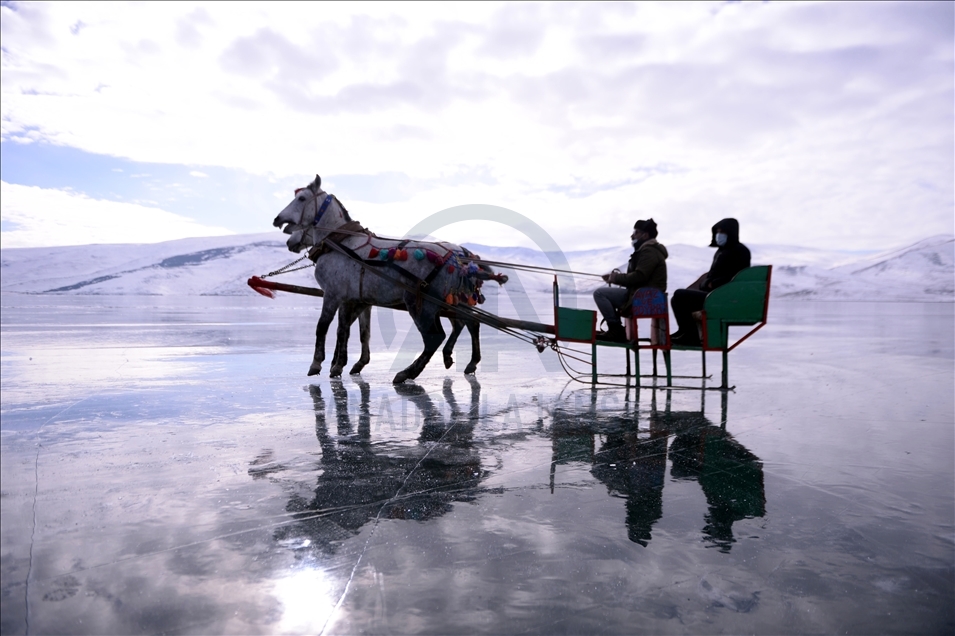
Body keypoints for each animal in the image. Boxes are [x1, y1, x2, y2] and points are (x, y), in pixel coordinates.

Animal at [272, 174, 504, 382]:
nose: (277, 219)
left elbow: (324, 327)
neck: (341, 243)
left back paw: (407, 373)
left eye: (301, 198)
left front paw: (317, 363)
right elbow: (352, 331)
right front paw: (342, 365)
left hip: (422, 303)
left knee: (435, 337)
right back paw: (466, 362)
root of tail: (460, 258)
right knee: (468, 324)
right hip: (450, 302)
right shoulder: (356, 299)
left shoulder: (332, 294)